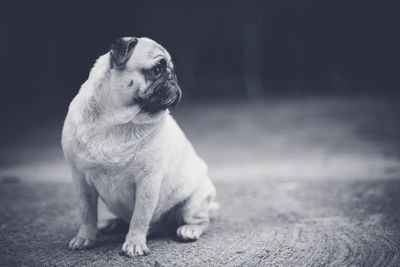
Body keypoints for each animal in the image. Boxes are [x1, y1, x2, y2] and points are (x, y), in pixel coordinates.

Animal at [62, 37, 217, 258]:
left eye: (171, 70)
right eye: (157, 70)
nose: (173, 77)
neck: (116, 122)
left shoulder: (148, 181)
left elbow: (140, 216)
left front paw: (134, 243)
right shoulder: (80, 180)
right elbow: (87, 213)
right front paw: (85, 237)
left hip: (194, 201)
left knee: (200, 220)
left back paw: (189, 229)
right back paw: (113, 224)